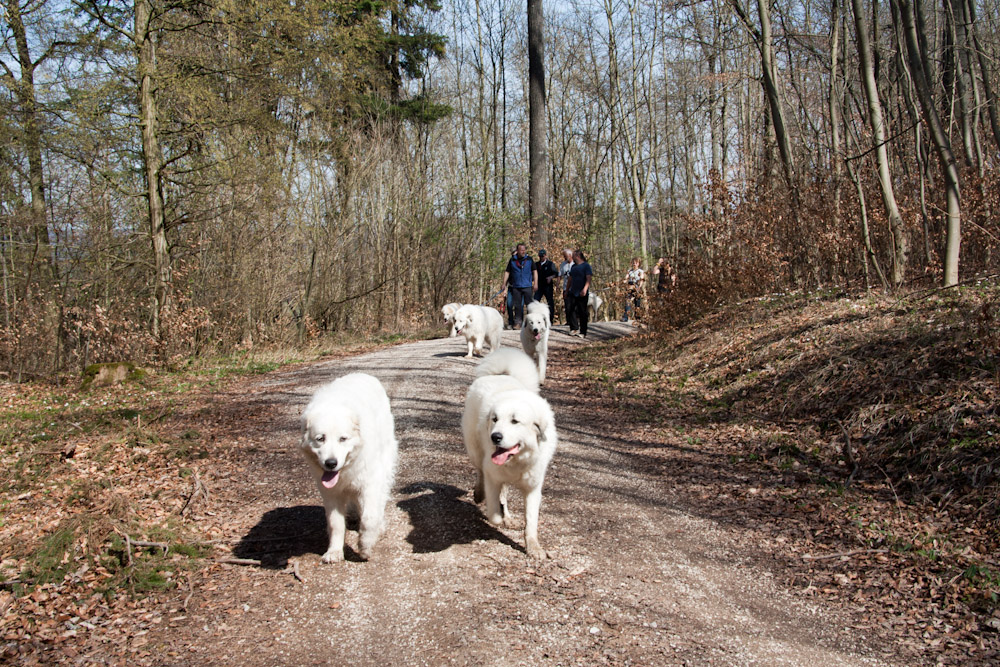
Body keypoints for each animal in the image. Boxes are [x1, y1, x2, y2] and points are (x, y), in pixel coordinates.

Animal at [298, 376, 396, 564]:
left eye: (342, 439)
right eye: (320, 439)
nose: (330, 463)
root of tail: (363, 374)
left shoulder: (370, 483)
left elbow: (369, 518)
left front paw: (365, 546)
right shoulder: (331, 493)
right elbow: (335, 523)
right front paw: (334, 551)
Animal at [462, 350, 560, 560]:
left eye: (515, 421)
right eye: (495, 419)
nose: (495, 437)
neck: (518, 461)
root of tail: (500, 374)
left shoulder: (533, 489)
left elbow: (531, 522)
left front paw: (533, 547)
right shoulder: (493, 477)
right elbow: (493, 514)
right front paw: (496, 515)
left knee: (504, 493)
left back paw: (507, 516)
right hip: (475, 451)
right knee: (480, 471)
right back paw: (479, 494)